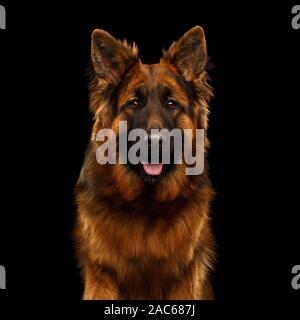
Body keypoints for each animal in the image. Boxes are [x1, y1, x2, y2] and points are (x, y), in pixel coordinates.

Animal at [74, 25, 216, 300]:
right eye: (135, 103)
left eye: (171, 103)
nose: (155, 142)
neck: (146, 206)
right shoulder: (101, 275)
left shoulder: (185, 278)